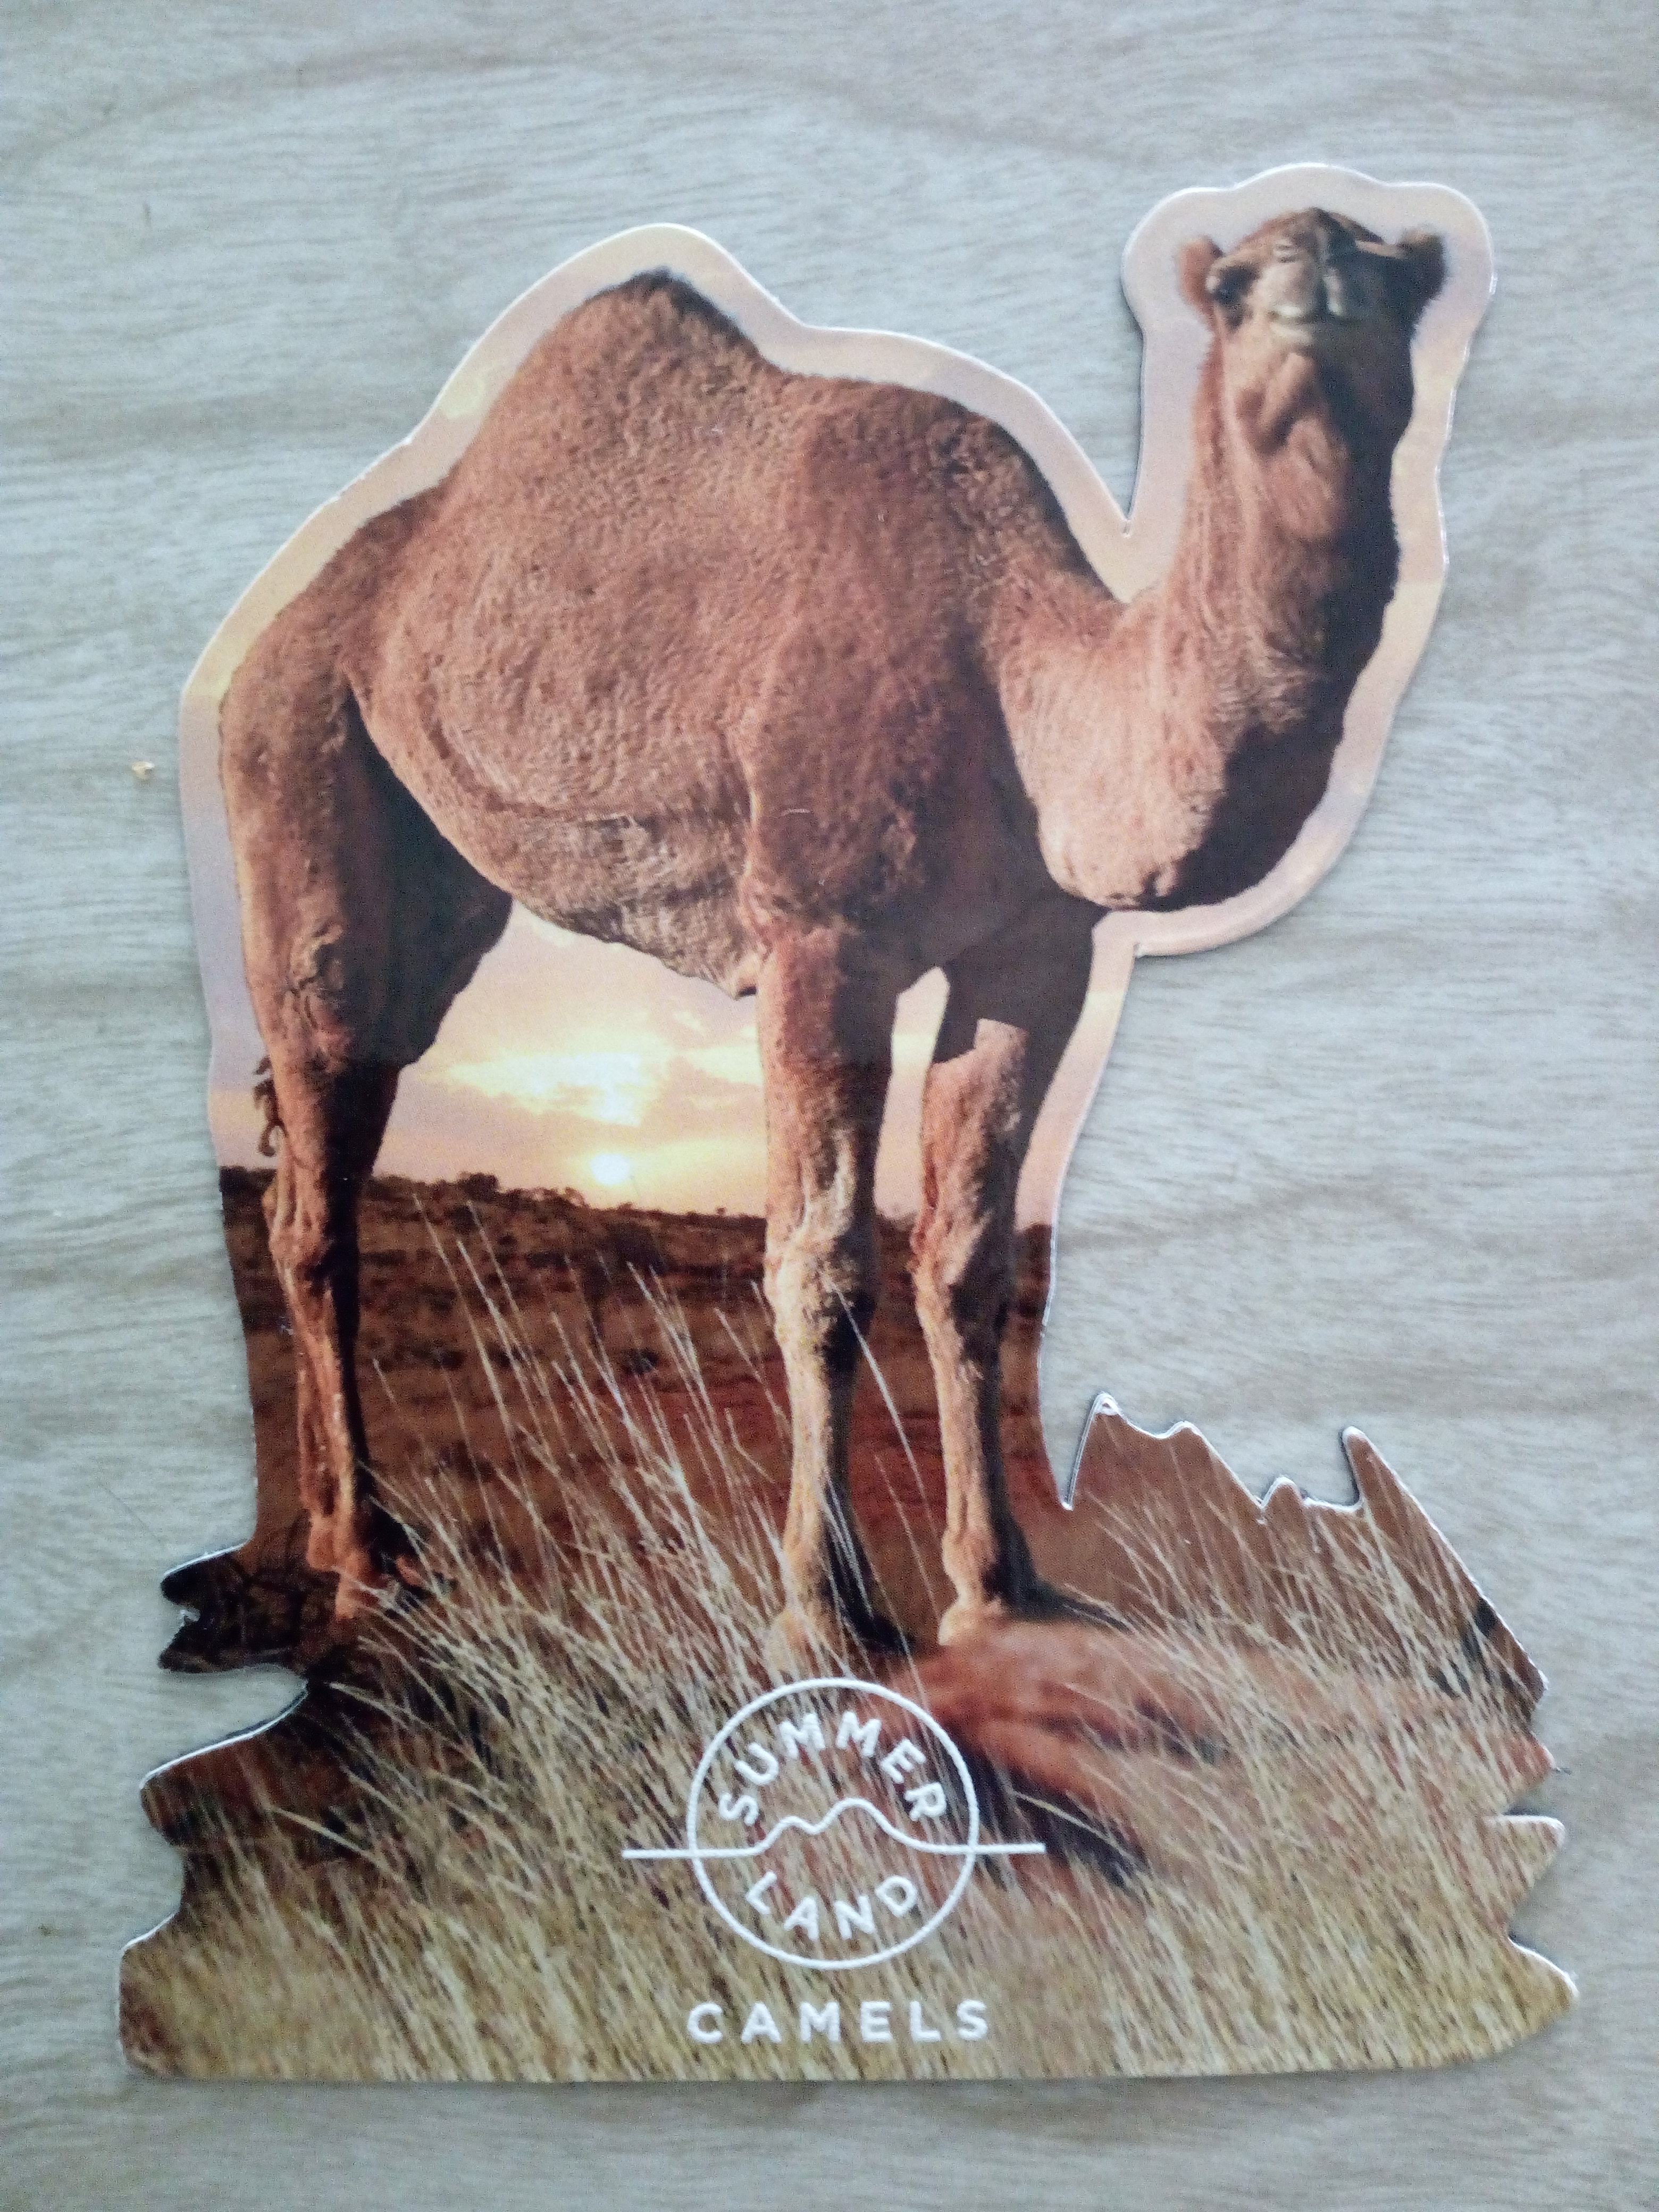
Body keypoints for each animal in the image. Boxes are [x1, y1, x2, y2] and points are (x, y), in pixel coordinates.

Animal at [215, 206, 1446, 1665]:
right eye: (1233, 284)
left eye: (1395, 279)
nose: (1314, 288)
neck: (1020, 677)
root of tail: (266, 639)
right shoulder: (821, 930)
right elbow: (819, 1264)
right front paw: (824, 1610)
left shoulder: (1033, 955)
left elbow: (969, 1260)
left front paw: (999, 1585)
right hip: (299, 749)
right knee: (318, 1167)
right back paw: (363, 1563)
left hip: (433, 878)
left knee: (319, 1149)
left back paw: (318, 1533)